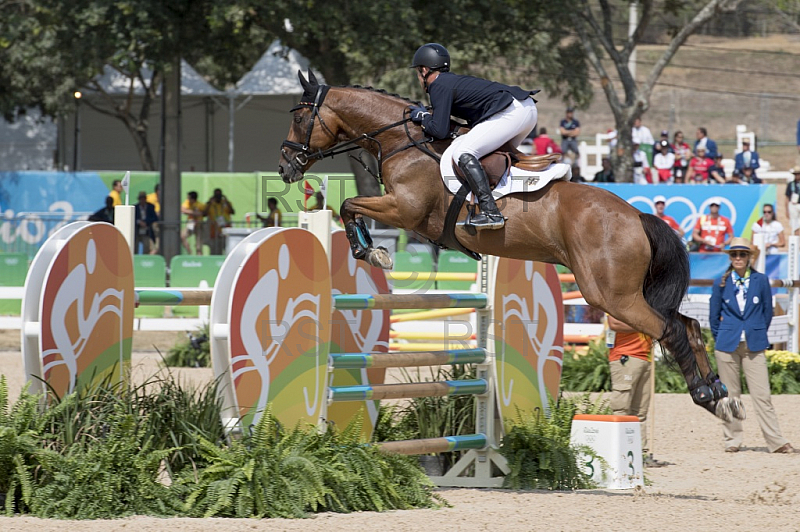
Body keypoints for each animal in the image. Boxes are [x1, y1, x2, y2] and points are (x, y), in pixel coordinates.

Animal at [280, 70, 744, 422]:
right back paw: (723, 395)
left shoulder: (405, 211)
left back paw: (705, 395)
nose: (286, 167)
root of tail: (637, 217)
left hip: (611, 295)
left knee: (670, 329)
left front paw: (370, 251)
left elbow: (347, 204)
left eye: (300, 118)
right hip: (629, 292)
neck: (402, 141)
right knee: (688, 325)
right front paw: (370, 249)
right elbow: (350, 206)